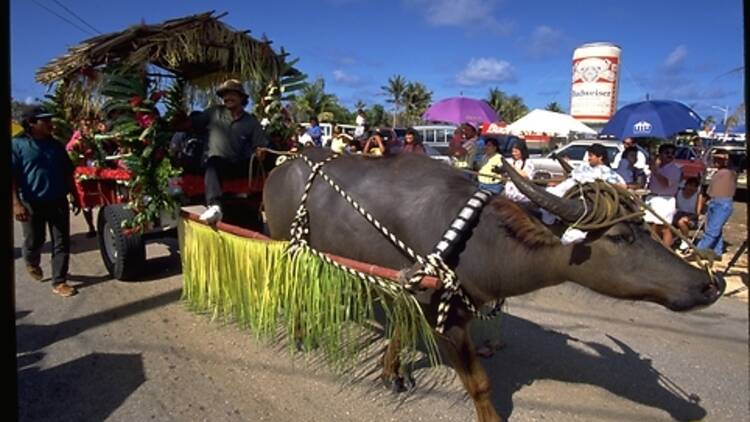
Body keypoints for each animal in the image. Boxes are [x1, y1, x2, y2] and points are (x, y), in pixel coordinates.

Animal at [262, 149, 724, 422]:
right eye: (621, 237)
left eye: (644, 229)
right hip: (289, 247)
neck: (481, 242)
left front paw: (392, 373)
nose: (709, 285)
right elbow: (480, 383)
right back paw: (300, 334)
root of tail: (280, 166)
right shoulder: (448, 318)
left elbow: (400, 331)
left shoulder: (416, 294)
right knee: (293, 290)